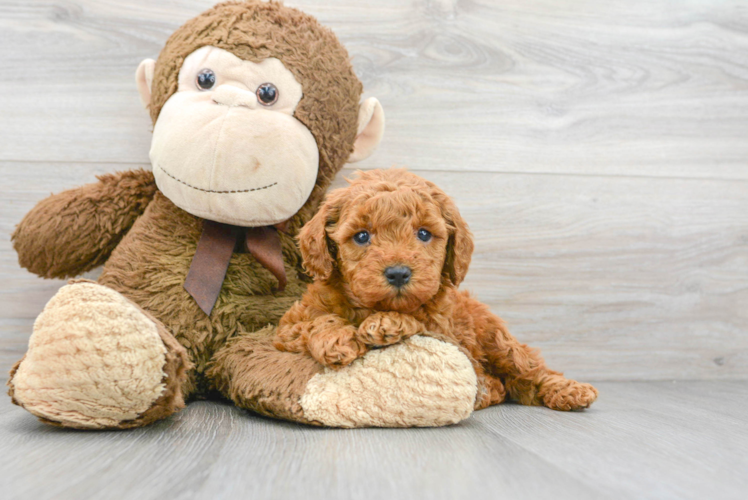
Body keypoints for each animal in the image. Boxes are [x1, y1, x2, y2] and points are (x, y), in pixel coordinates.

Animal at [274, 168, 596, 410]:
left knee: (531, 369)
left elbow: (420, 321)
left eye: (424, 233)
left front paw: (387, 323)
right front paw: (336, 339)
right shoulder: (286, 329)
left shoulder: (447, 334)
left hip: (497, 340)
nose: (399, 273)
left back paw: (570, 390)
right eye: (362, 236)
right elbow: (314, 322)